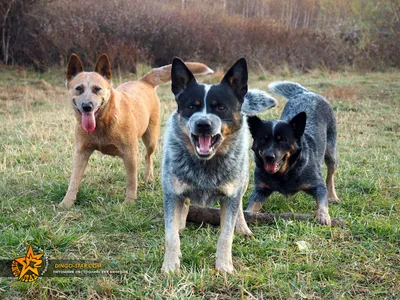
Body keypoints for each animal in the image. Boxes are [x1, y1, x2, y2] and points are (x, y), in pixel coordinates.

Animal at [59, 52, 214, 207]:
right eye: (79, 88)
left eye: (97, 89)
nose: (87, 106)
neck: (103, 122)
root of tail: (144, 81)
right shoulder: (81, 152)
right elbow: (74, 179)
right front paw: (67, 202)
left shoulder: (130, 154)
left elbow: (131, 181)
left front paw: (129, 202)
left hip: (151, 138)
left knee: (148, 156)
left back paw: (148, 177)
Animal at [161, 56, 276, 274]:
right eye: (192, 106)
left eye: (220, 107)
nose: (203, 124)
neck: (205, 165)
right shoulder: (171, 192)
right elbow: (171, 235)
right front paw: (170, 265)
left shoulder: (230, 195)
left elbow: (226, 235)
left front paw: (224, 266)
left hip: (243, 180)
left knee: (239, 207)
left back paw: (243, 228)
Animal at [247, 81, 340, 226]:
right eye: (263, 139)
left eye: (282, 140)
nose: (269, 157)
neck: (284, 173)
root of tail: (307, 93)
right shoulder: (260, 189)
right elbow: (251, 206)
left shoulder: (317, 185)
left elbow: (322, 200)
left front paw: (323, 215)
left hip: (331, 150)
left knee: (330, 174)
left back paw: (333, 196)